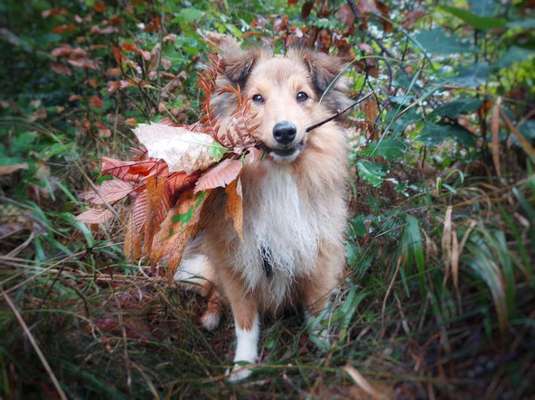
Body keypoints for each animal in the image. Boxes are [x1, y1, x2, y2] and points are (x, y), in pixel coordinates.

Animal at [176, 37, 352, 382]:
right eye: (257, 98)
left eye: (302, 96)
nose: (285, 131)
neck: (279, 176)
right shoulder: (237, 262)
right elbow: (245, 320)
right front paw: (242, 367)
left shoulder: (319, 255)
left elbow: (315, 309)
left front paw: (324, 349)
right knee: (214, 293)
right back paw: (211, 317)